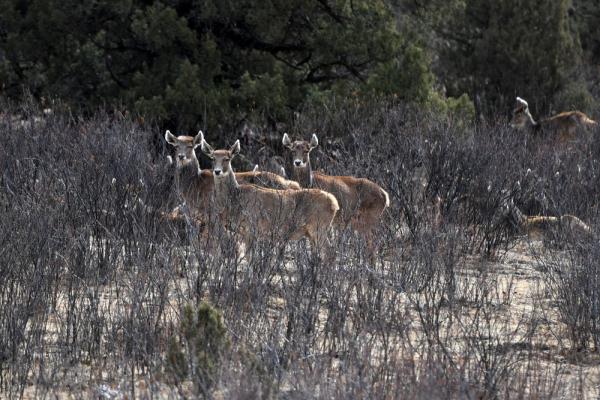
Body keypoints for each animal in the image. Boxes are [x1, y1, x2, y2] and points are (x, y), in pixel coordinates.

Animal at [198, 136, 336, 258]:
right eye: (212, 158)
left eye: (227, 158)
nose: (217, 171)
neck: (236, 200)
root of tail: (334, 204)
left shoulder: (251, 226)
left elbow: (249, 257)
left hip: (318, 227)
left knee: (330, 254)